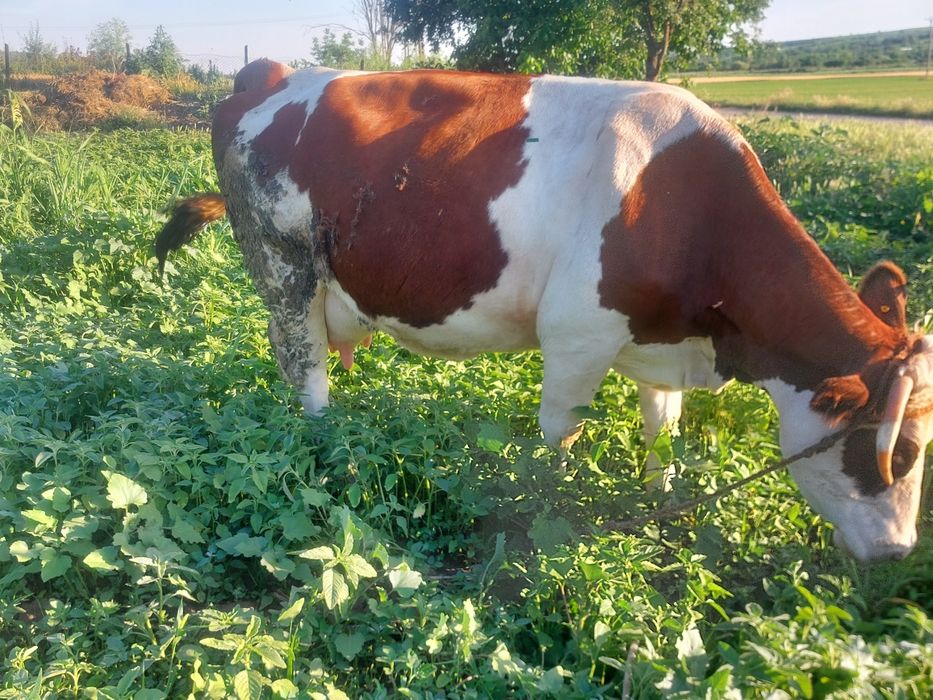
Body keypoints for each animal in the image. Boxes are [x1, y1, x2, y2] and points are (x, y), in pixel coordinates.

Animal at [156, 59, 933, 563]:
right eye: (897, 453)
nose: (899, 553)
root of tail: (275, 72)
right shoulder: (576, 337)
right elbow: (560, 440)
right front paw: (555, 518)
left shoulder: (659, 344)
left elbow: (662, 434)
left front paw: (658, 505)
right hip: (284, 264)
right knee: (305, 369)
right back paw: (330, 450)